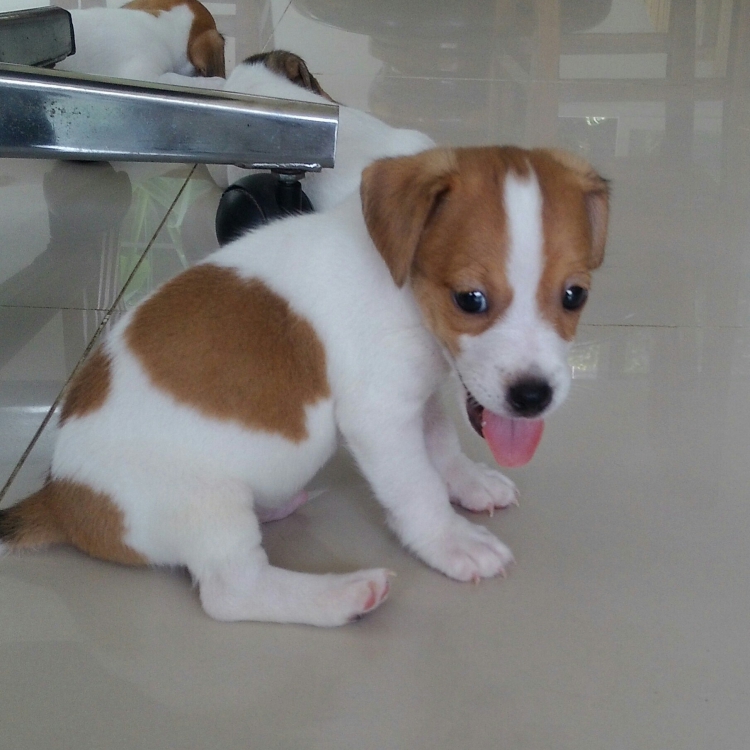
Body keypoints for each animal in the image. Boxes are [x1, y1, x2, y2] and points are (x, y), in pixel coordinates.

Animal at [0, 140, 609, 626]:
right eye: (470, 300)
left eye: (574, 295)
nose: (533, 397)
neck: (401, 285)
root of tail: (60, 494)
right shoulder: (380, 416)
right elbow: (418, 489)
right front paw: (450, 540)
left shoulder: (417, 394)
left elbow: (440, 446)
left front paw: (470, 483)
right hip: (206, 504)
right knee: (231, 592)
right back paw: (343, 595)